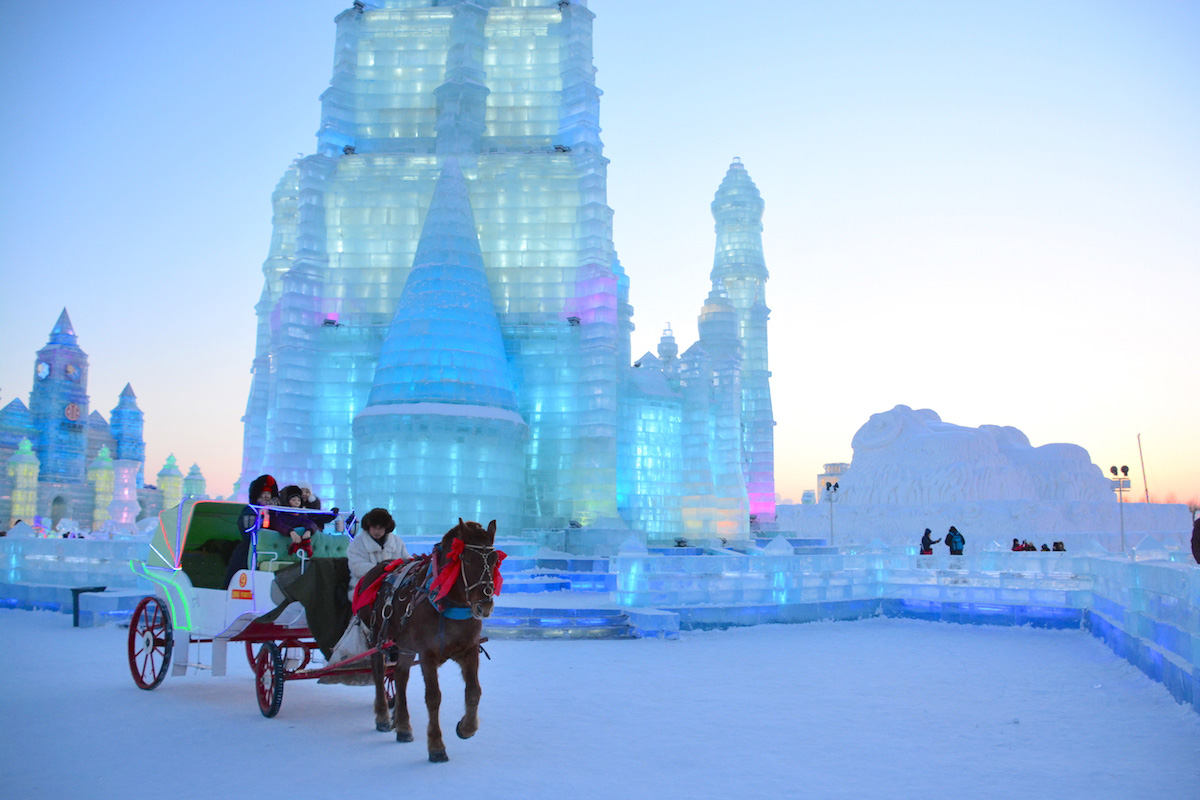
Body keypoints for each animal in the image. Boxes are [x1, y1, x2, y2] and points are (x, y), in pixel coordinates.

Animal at [357, 520, 504, 762]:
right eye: (466, 559)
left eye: (494, 560)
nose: (485, 604)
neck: (448, 603)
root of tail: (380, 568)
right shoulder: (427, 654)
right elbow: (433, 697)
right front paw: (436, 746)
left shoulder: (469, 650)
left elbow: (474, 691)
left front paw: (466, 727)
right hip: (376, 637)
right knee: (379, 674)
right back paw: (383, 717)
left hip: (405, 646)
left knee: (400, 677)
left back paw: (403, 726)